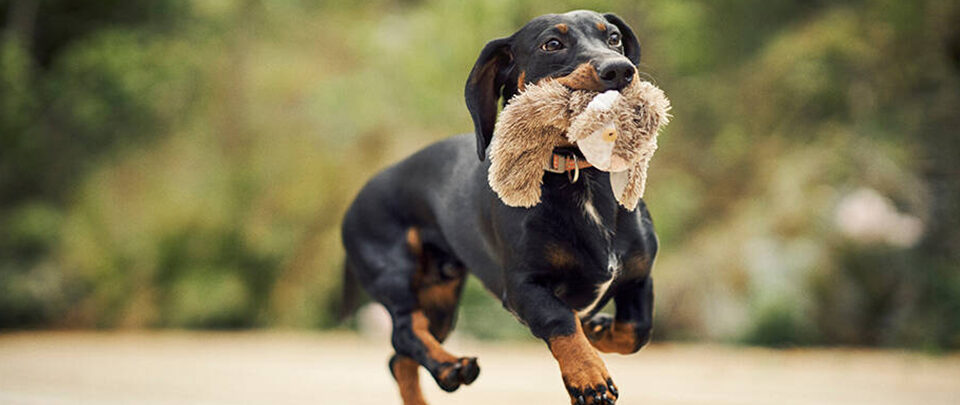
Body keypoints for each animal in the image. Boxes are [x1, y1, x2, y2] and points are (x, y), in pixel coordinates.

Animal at [342, 9, 656, 404]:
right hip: (395, 274)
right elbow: (562, 321)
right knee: (405, 330)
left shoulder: (638, 276)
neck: (581, 181)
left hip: (440, 300)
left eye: (613, 37)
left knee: (400, 356)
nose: (620, 70)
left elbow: (636, 330)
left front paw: (599, 331)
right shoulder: (524, 288)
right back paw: (451, 367)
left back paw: (445, 372)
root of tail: (359, 195)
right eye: (552, 43)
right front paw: (589, 376)